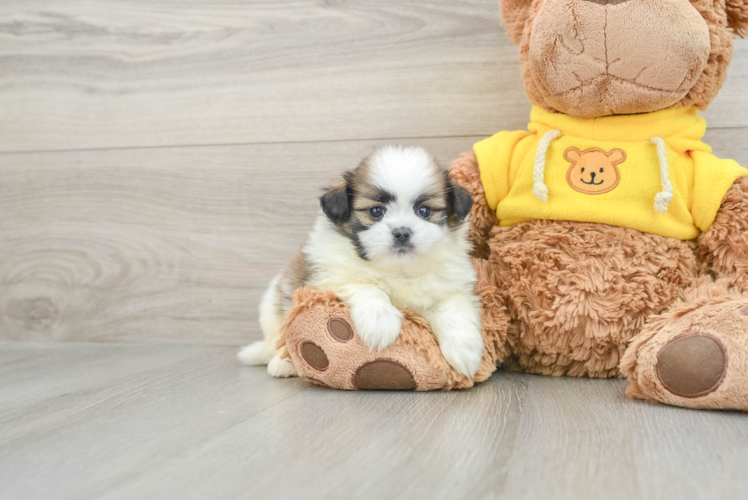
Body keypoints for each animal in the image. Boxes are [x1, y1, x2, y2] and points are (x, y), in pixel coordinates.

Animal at [240, 145, 486, 378]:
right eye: (376, 211)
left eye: (424, 211)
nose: (402, 232)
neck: (399, 269)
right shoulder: (329, 276)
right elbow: (366, 286)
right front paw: (380, 323)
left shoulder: (452, 288)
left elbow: (454, 311)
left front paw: (466, 352)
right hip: (273, 310)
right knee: (277, 343)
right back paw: (283, 364)